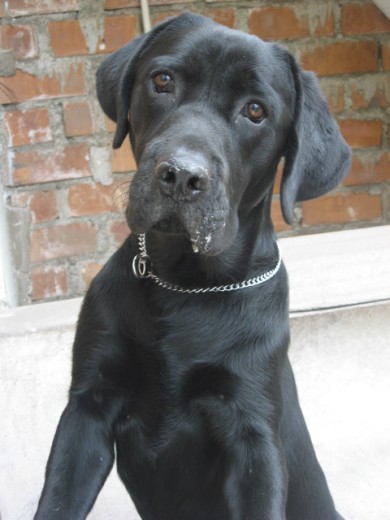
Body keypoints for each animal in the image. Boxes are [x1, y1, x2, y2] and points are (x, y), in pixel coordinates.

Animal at [35, 13, 350, 520]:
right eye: (163, 80)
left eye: (256, 111)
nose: (181, 175)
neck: (185, 285)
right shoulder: (88, 405)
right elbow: (58, 500)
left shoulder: (253, 432)